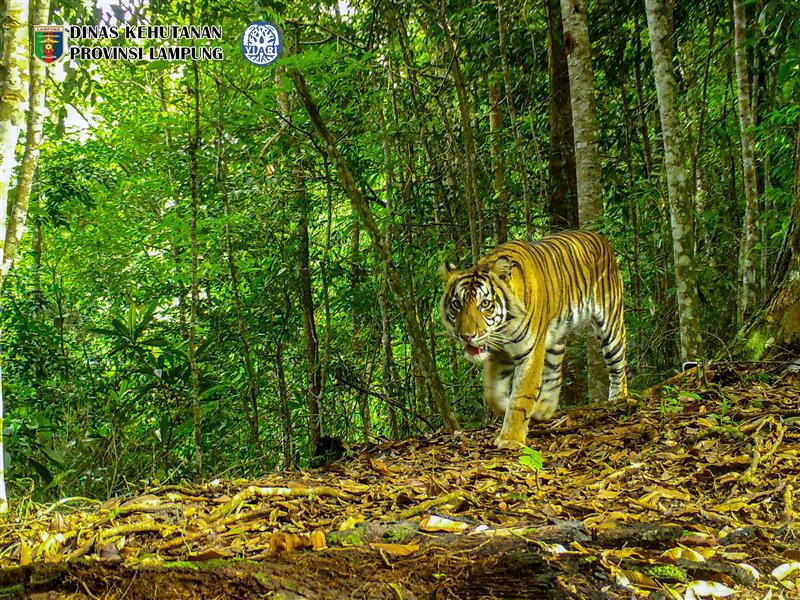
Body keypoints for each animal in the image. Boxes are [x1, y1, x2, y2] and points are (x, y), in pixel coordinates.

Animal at [439, 230, 628, 448]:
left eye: (484, 304)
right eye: (457, 304)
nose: (466, 336)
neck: (502, 329)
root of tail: (600, 237)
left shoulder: (529, 353)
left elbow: (521, 396)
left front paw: (511, 438)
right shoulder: (499, 353)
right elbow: (492, 393)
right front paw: (506, 407)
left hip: (611, 324)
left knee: (618, 365)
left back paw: (619, 399)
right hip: (555, 339)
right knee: (554, 372)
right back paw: (544, 409)